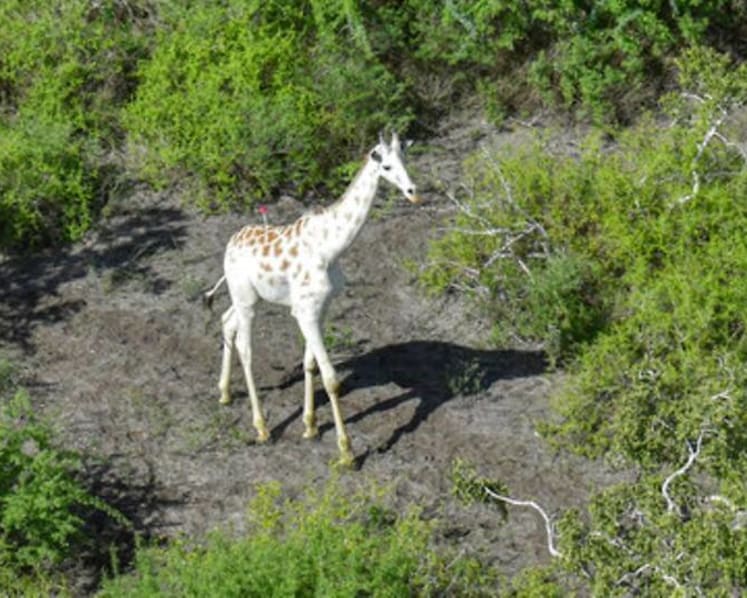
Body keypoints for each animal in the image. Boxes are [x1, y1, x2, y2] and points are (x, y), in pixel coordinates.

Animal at [204, 132, 421, 466]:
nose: (413, 192)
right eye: (385, 166)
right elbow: (331, 378)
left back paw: (225, 393)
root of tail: (230, 244)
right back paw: (262, 427)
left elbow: (309, 365)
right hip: (246, 300)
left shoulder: (321, 308)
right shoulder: (305, 310)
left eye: (405, 159)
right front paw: (346, 452)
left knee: (227, 321)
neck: (330, 248)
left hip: (248, 297)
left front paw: (310, 426)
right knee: (245, 348)